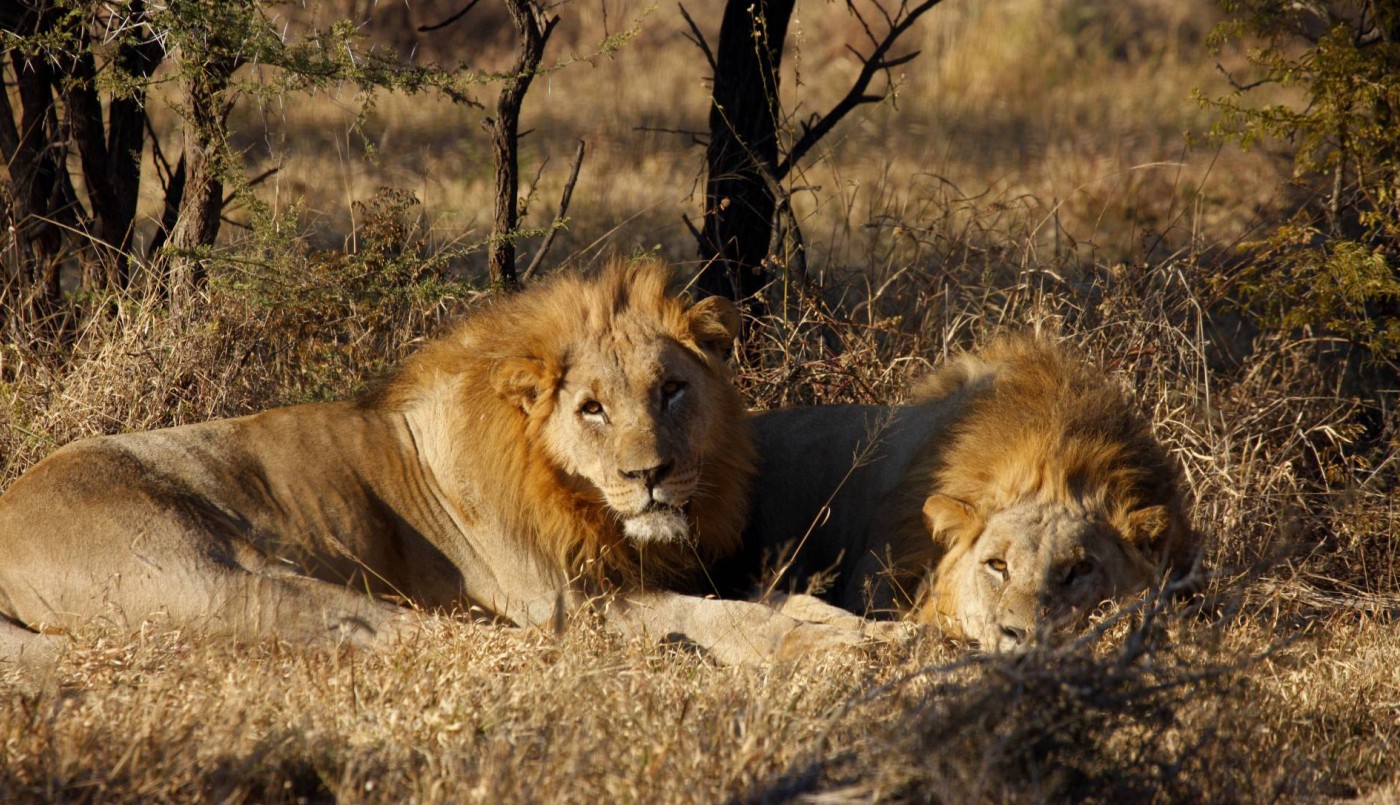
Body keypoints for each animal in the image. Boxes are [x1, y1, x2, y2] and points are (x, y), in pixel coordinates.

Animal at [0, 259, 867, 667]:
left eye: (672, 390)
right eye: (591, 408)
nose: (648, 475)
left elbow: (781, 599)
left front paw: (870, 633)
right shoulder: (579, 598)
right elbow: (728, 618)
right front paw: (831, 651)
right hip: (217, 576)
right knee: (413, 634)